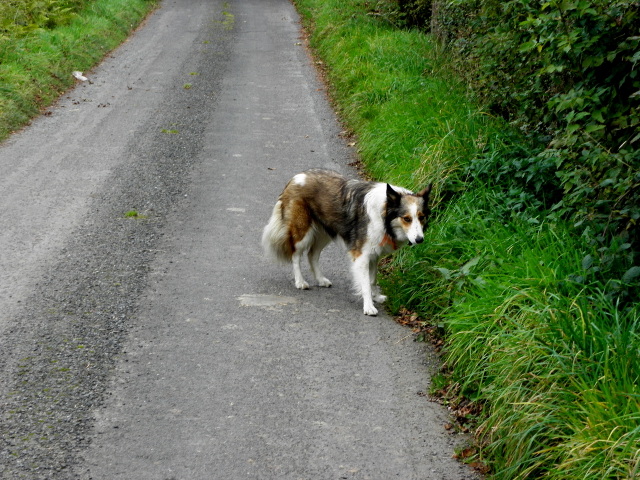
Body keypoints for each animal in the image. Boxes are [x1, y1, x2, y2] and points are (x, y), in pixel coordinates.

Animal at [262, 169, 436, 316]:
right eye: (406, 218)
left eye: (421, 217)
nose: (420, 239)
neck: (383, 213)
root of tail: (296, 177)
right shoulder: (362, 255)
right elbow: (365, 283)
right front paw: (369, 306)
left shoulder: (374, 255)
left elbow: (373, 279)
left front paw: (376, 296)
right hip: (302, 231)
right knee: (296, 255)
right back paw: (300, 282)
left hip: (324, 233)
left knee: (312, 255)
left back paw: (320, 279)